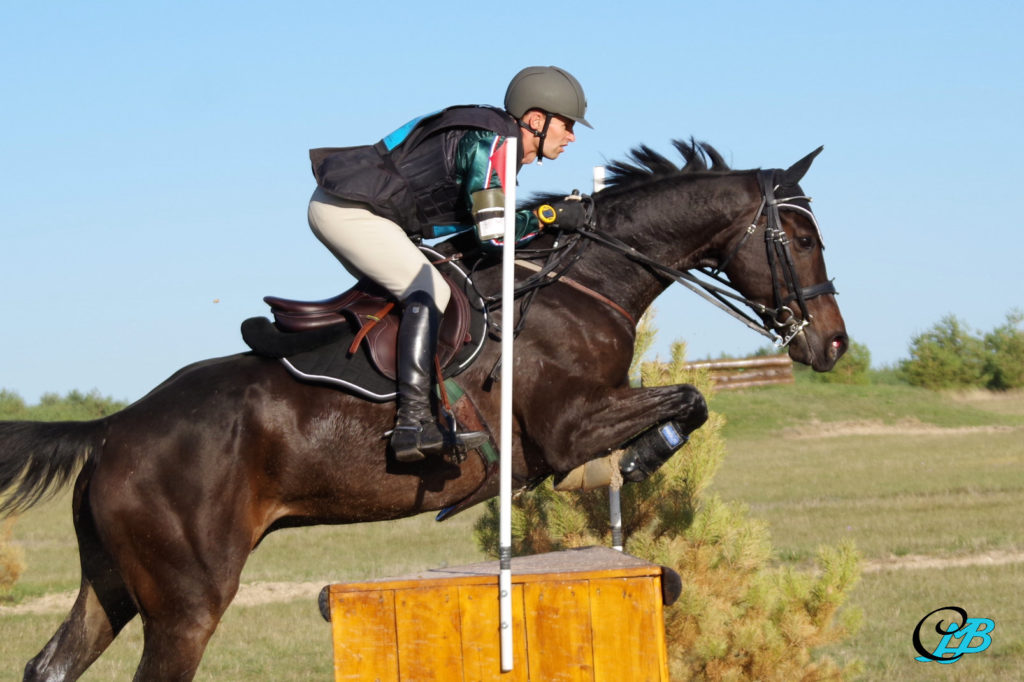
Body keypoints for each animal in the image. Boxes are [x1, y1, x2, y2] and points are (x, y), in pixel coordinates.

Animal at [0, 138, 847, 675]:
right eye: (802, 239)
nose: (833, 344)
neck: (584, 282)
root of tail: (112, 430)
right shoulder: (567, 427)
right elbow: (688, 397)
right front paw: (637, 459)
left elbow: (687, 403)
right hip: (186, 602)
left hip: (113, 585)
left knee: (52, 664)